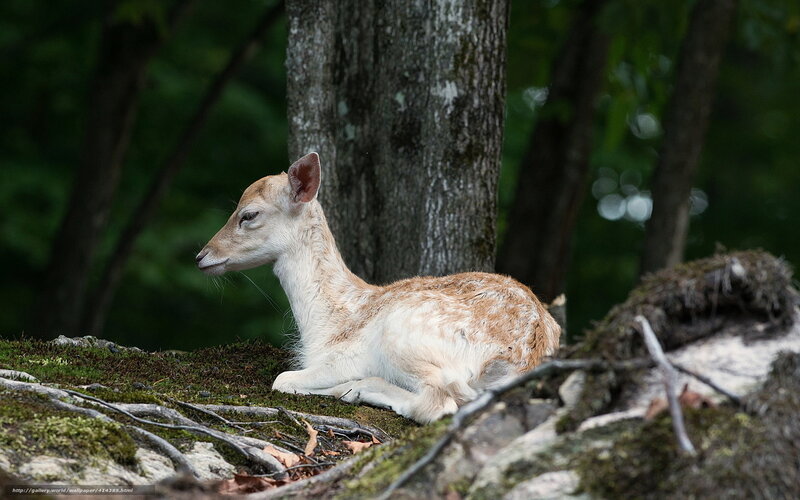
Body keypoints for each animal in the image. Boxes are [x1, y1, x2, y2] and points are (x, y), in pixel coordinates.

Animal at [196, 153, 561, 423]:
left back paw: (358, 390)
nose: (202, 256)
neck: (324, 323)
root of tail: (522, 359)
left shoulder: (343, 356)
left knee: (440, 403)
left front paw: (344, 387)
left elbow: (283, 379)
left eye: (248, 215)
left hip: (401, 335)